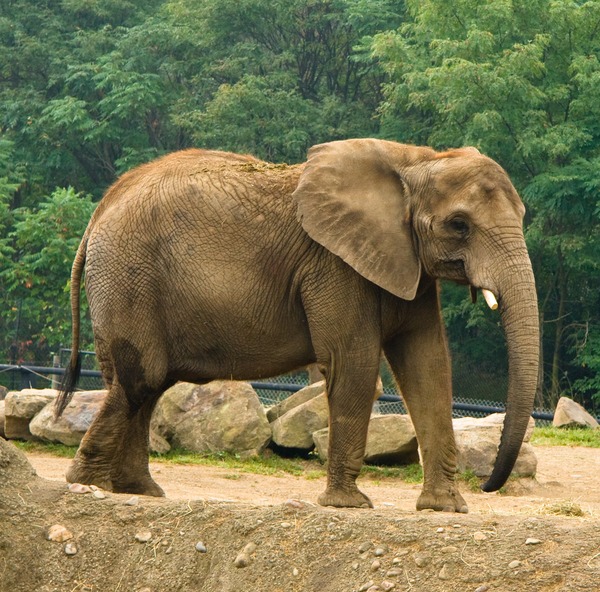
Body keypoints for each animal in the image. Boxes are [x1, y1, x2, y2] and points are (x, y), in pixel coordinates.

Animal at [56, 140, 540, 512]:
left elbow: (429, 368)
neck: (416, 161)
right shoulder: (334, 265)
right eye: (459, 225)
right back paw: (89, 485)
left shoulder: (409, 264)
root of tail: (100, 211)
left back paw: (141, 491)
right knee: (140, 380)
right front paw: (349, 505)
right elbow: (354, 366)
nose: (488, 486)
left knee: (146, 385)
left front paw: (446, 509)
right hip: (128, 277)